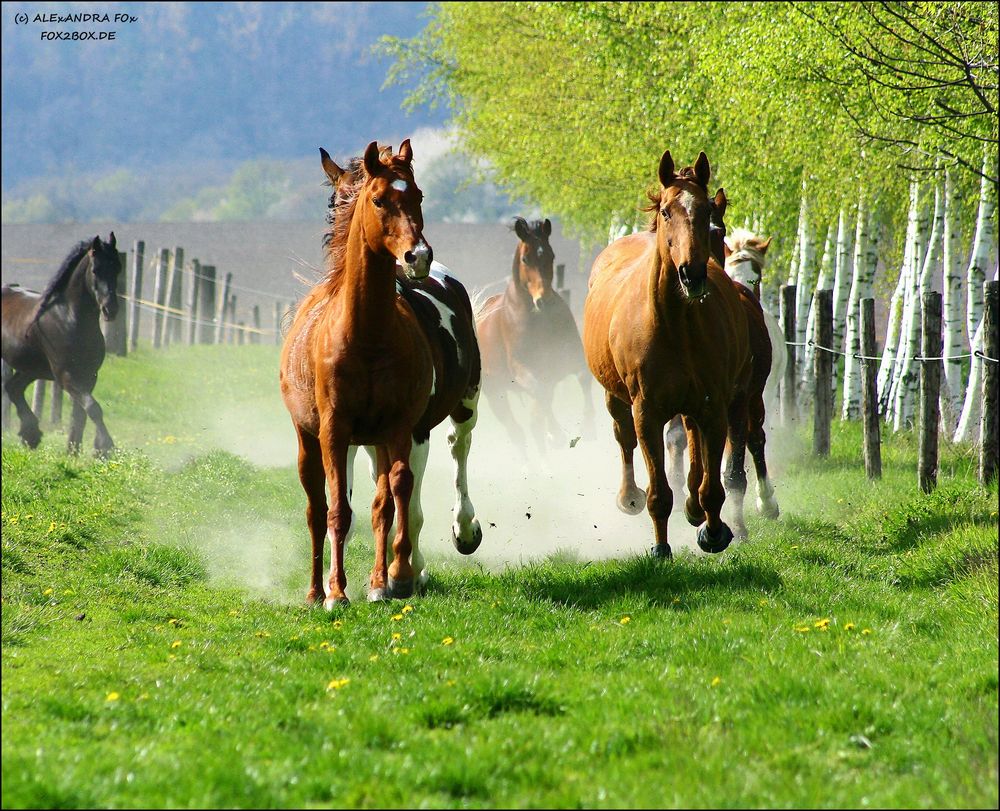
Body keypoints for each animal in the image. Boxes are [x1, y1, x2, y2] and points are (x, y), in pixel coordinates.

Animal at [1, 233, 122, 456]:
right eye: (96, 269)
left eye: (117, 267)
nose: (110, 309)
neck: (69, 318)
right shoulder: (67, 376)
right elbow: (93, 408)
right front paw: (105, 448)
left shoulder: (89, 376)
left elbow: (81, 414)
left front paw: (74, 450)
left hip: (32, 368)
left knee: (13, 387)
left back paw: (30, 435)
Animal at [280, 141, 482, 608]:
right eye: (377, 199)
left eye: (418, 195)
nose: (417, 256)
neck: (365, 334)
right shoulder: (337, 432)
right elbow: (341, 509)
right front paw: (338, 591)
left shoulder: (401, 427)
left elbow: (394, 500)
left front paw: (395, 577)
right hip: (316, 440)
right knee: (318, 508)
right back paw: (317, 590)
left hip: (464, 403)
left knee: (458, 449)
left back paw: (461, 532)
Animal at [476, 216, 592, 454]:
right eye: (525, 258)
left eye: (551, 255)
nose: (543, 300)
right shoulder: (521, 368)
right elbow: (540, 394)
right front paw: (556, 435)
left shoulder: (569, 357)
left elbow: (582, 377)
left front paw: (589, 425)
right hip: (495, 396)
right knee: (518, 431)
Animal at [580, 151, 752, 560]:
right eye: (666, 212)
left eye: (705, 211)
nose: (691, 273)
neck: (675, 325)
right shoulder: (647, 411)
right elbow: (658, 488)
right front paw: (660, 547)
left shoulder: (713, 404)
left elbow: (711, 483)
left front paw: (713, 531)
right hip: (615, 396)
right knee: (623, 437)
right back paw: (629, 496)